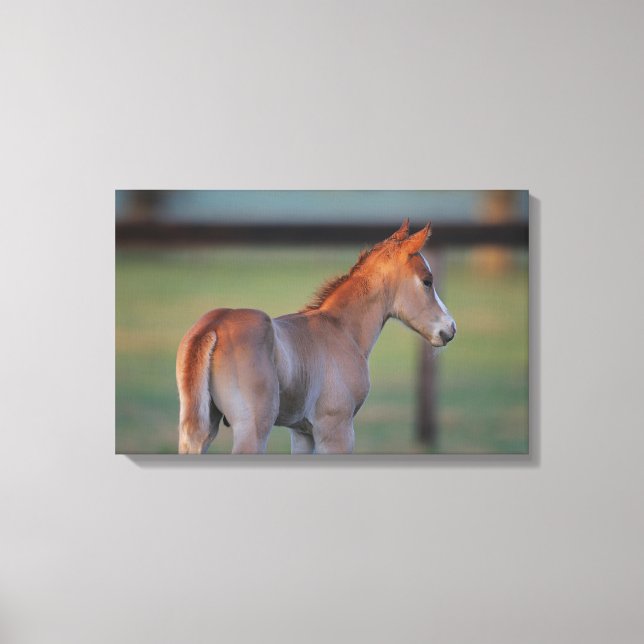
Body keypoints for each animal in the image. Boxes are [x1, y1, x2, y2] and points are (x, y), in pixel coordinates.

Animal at [176, 219, 456, 454]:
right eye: (427, 281)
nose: (450, 328)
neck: (342, 330)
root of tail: (213, 326)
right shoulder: (336, 429)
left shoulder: (302, 433)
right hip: (252, 428)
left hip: (200, 428)